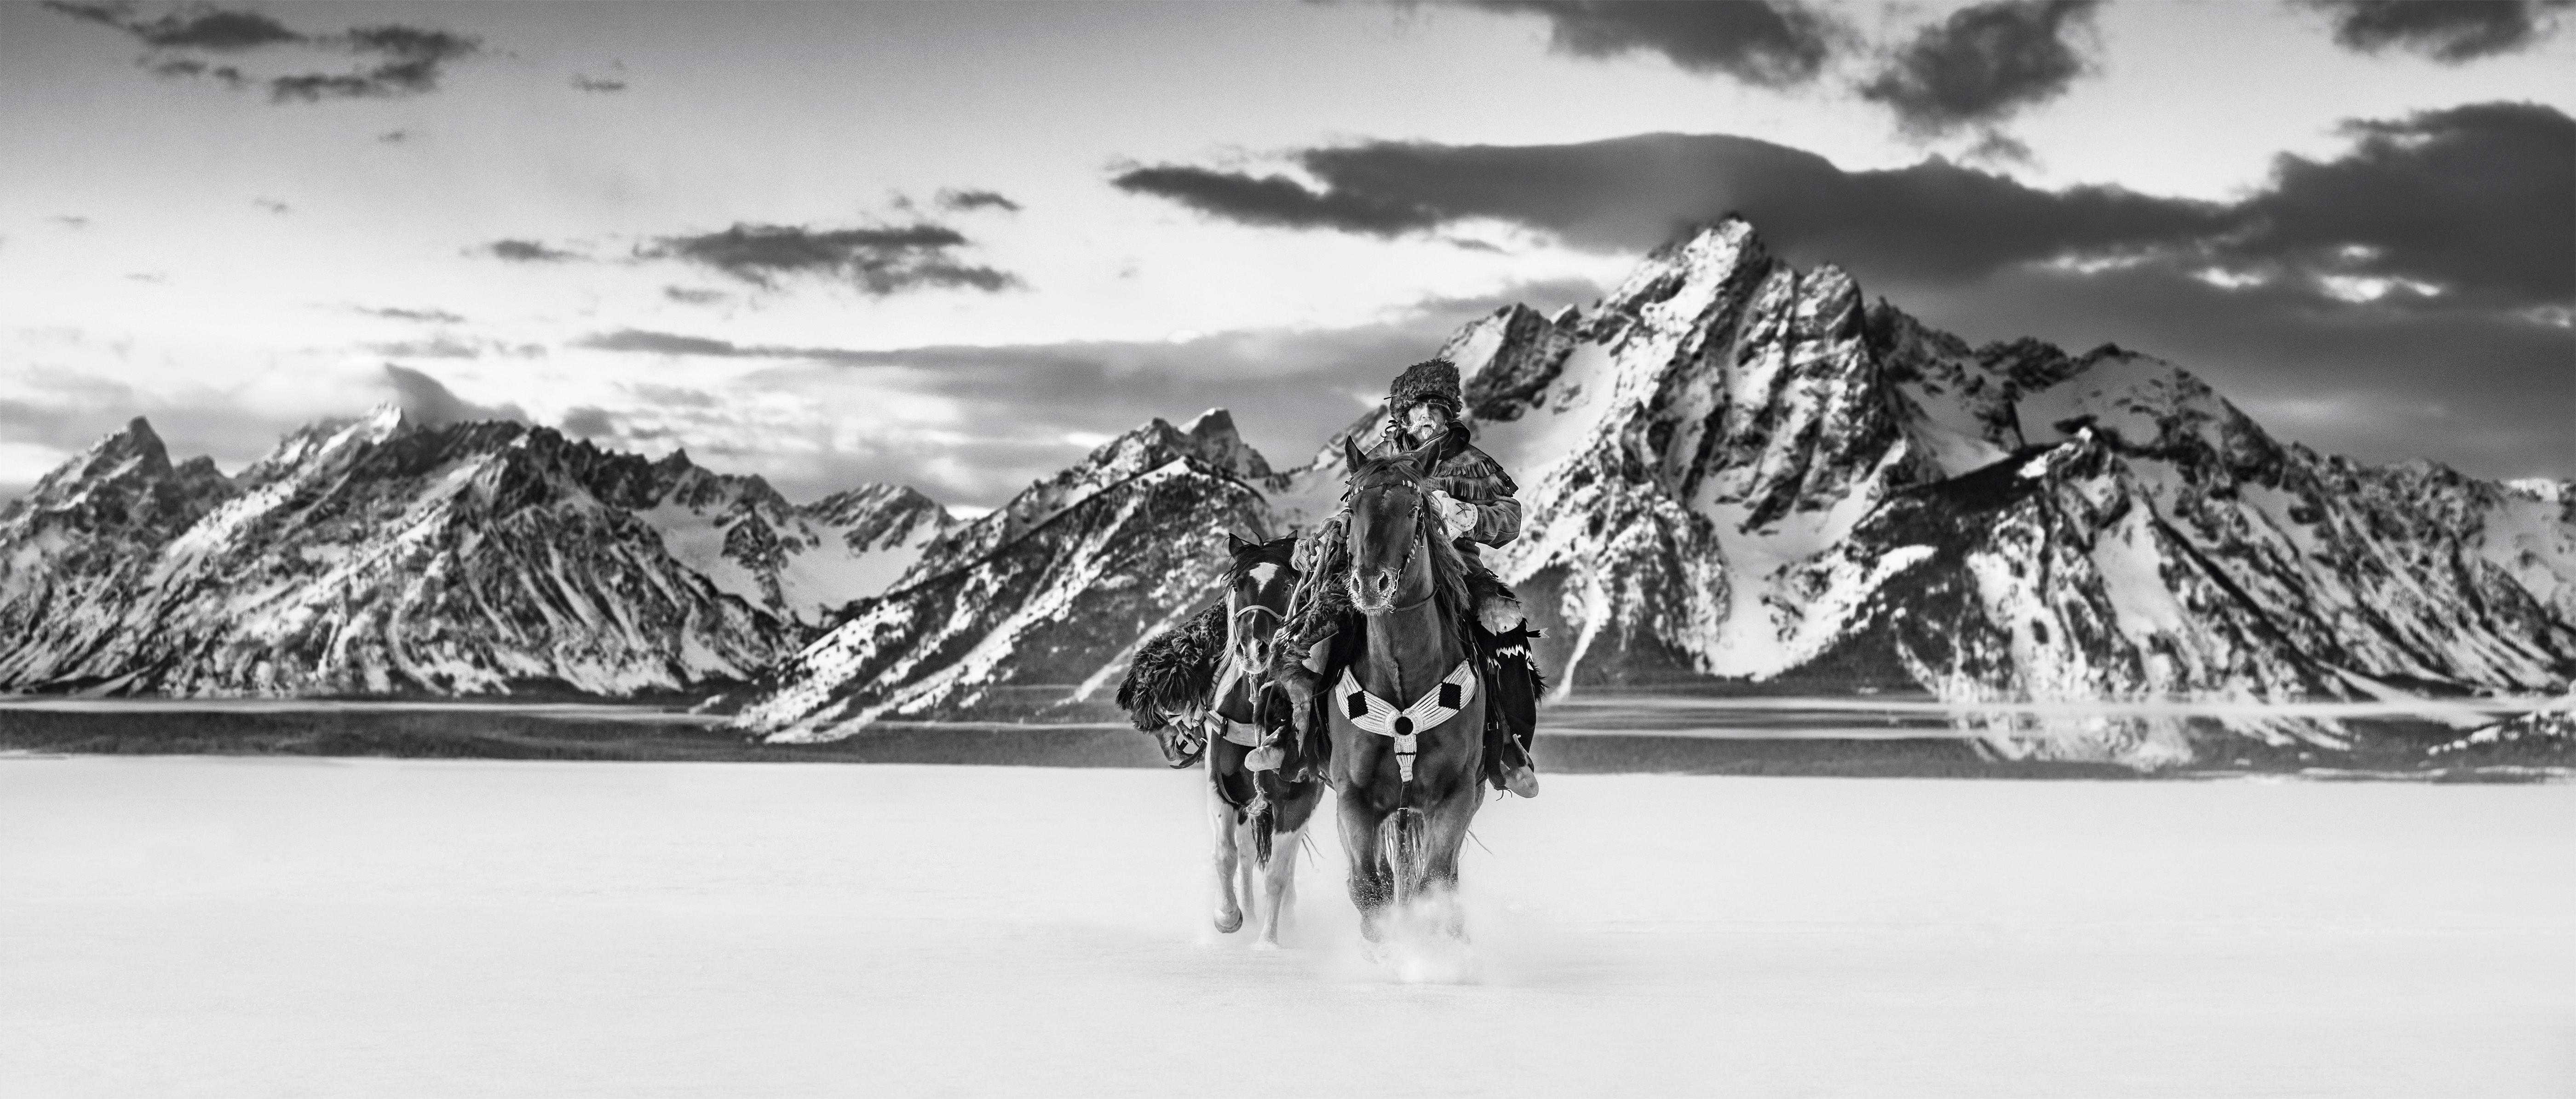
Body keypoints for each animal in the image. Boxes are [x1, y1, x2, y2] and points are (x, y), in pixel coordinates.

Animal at [1113, 532, 1319, 947]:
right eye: (1237, 585)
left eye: (1287, 585)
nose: (1255, 649)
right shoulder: (1222, 790)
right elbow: (1225, 855)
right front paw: (1228, 919)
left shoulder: (1302, 797)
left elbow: (1278, 874)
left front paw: (1270, 945)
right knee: (1245, 856)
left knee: (1281, 867)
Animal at [1329, 435, 1494, 952]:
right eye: (1352, 503)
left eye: (1414, 508)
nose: (1370, 584)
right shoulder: (1354, 796)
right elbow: (1368, 888)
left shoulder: (1455, 796)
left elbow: (1433, 884)